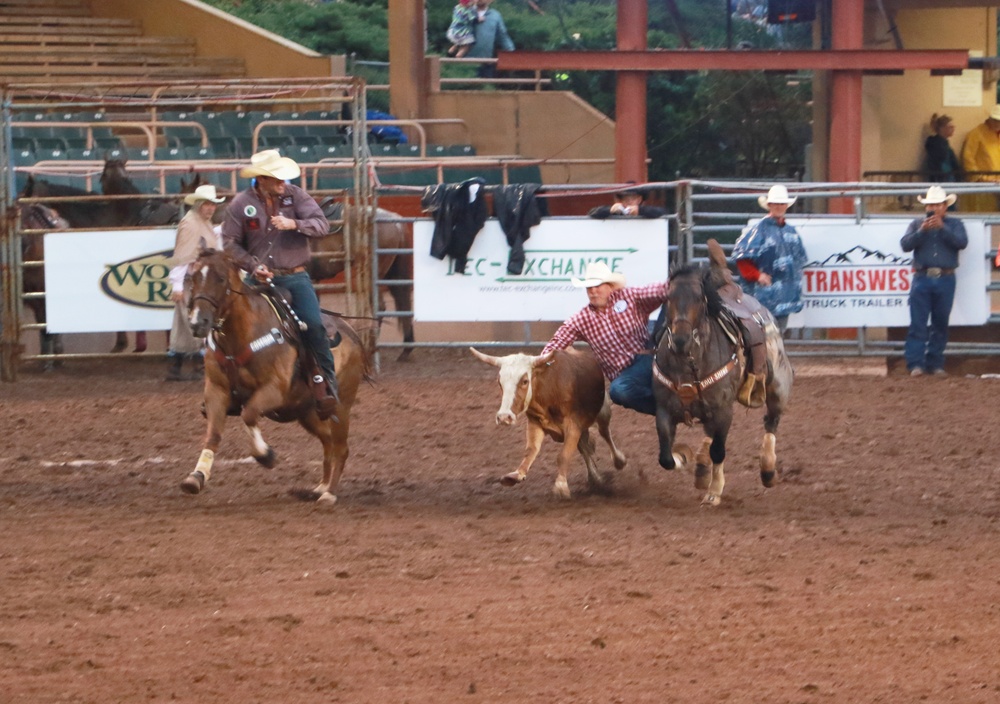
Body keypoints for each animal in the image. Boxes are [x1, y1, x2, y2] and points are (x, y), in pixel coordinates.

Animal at [179, 250, 372, 504]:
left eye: (220, 279)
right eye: (191, 278)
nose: (197, 322)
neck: (242, 334)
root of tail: (352, 332)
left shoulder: (274, 389)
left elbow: (249, 414)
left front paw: (266, 455)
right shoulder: (216, 391)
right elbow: (213, 434)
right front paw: (196, 477)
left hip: (341, 407)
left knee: (340, 446)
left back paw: (329, 493)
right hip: (307, 412)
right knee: (328, 441)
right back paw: (320, 486)